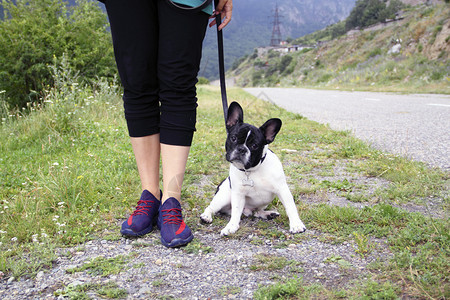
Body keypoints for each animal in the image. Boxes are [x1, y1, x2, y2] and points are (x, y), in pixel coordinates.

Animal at [200, 102, 306, 236]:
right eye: (233, 138)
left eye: (255, 145)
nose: (242, 149)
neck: (252, 170)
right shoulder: (238, 194)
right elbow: (236, 212)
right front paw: (231, 227)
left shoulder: (282, 189)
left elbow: (290, 207)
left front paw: (296, 224)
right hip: (224, 196)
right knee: (212, 207)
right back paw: (206, 216)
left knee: (256, 212)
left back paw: (268, 214)